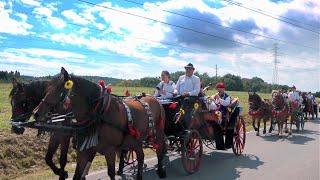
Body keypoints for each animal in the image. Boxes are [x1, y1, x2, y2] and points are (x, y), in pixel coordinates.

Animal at [32, 68, 168, 180]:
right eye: (47, 89)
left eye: (59, 90)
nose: (36, 113)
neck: (99, 113)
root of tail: (155, 98)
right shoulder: (83, 151)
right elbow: (76, 174)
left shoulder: (110, 151)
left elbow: (111, 173)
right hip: (137, 140)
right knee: (140, 157)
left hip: (158, 133)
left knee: (159, 149)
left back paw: (161, 170)